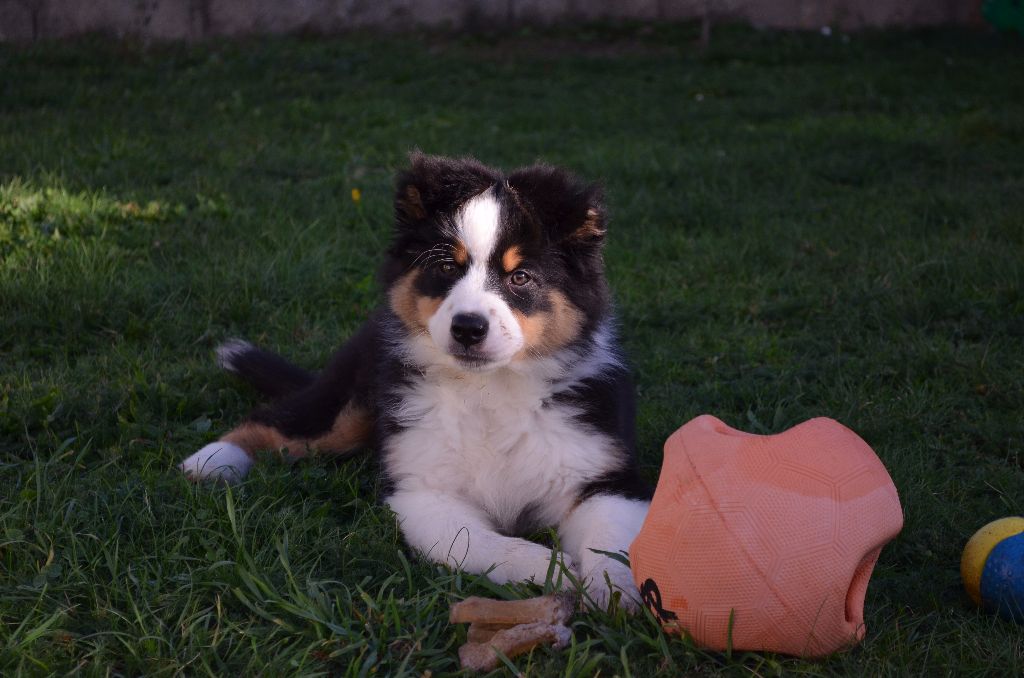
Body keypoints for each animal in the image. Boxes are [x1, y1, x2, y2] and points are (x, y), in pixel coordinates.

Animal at [180, 153, 651, 610]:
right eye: (446, 267)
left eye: (520, 276)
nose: (467, 328)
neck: (490, 389)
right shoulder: (423, 490)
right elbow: (480, 543)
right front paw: (555, 570)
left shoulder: (605, 476)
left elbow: (611, 543)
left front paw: (614, 592)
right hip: (350, 403)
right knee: (284, 420)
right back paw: (210, 461)